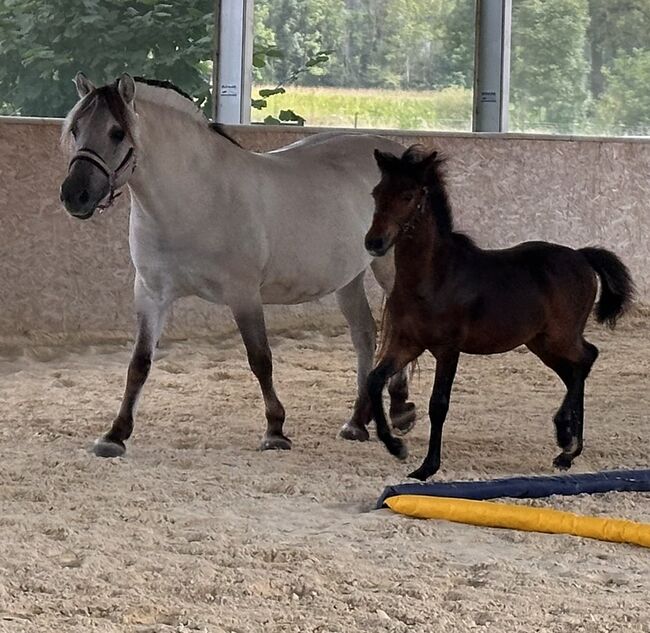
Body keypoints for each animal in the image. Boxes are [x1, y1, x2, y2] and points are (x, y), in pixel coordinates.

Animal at [62, 74, 416, 456]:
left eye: (116, 132)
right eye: (76, 129)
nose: (74, 196)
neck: (195, 197)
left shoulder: (243, 295)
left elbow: (260, 358)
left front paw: (275, 430)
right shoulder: (150, 294)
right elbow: (139, 363)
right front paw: (115, 434)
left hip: (390, 270)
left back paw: (400, 409)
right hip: (348, 278)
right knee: (364, 335)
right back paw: (357, 422)